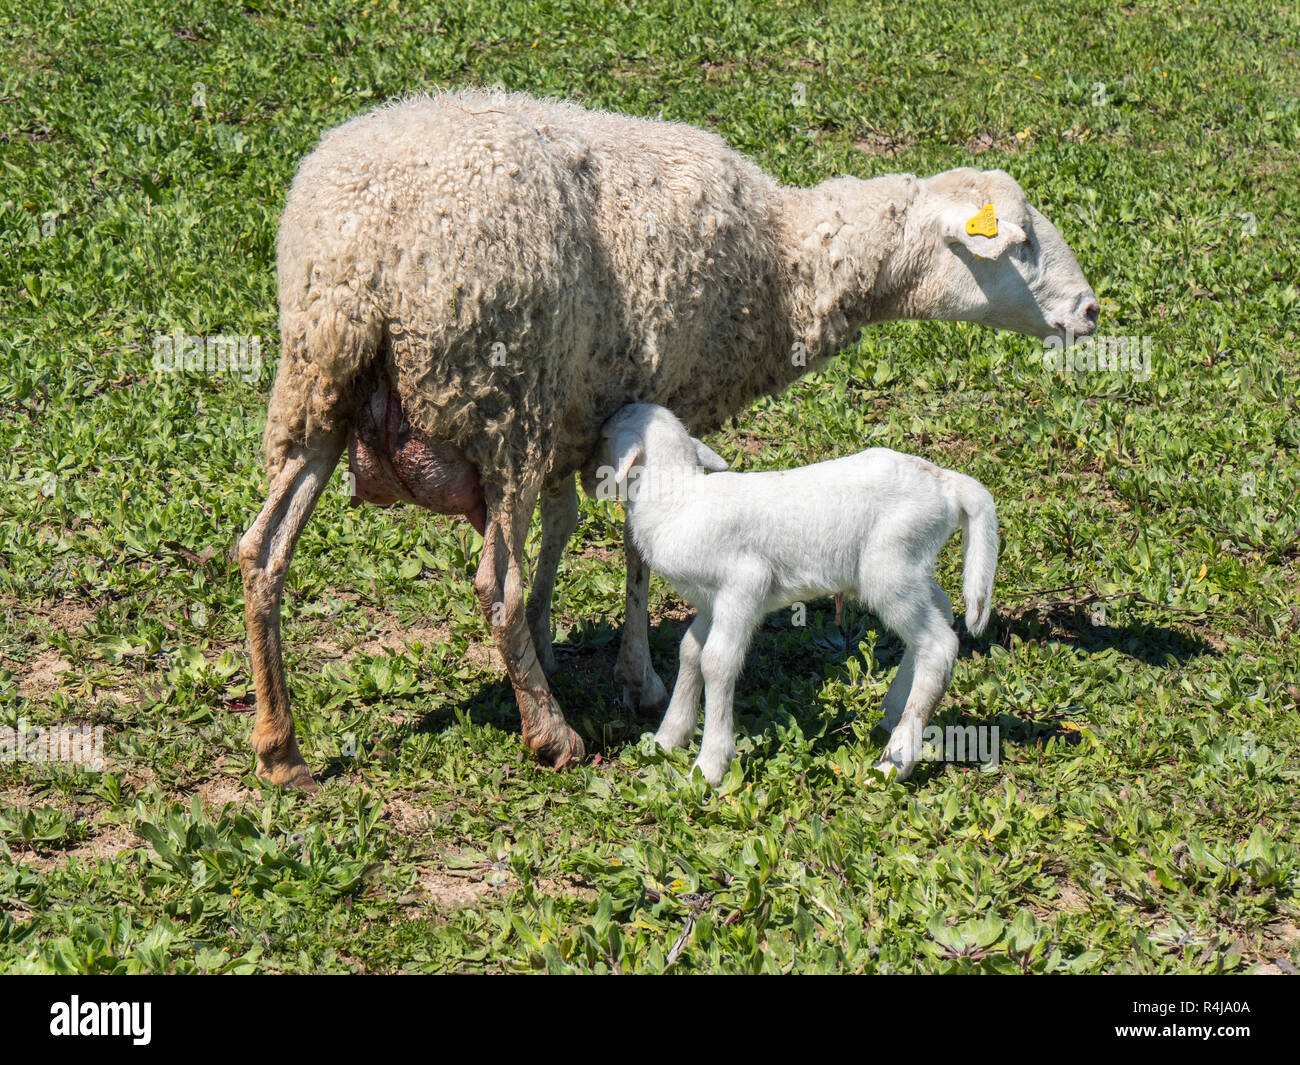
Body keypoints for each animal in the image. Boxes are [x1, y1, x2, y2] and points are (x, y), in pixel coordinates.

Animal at [586, 402, 999, 785]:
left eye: (604, 438)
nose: (587, 481)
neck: (678, 503)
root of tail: (947, 484)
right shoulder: (710, 599)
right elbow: (690, 652)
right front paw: (668, 738)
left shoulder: (744, 584)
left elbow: (716, 662)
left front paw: (710, 765)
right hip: (908, 564)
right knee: (939, 610)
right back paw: (892, 710)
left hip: (889, 567)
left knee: (938, 645)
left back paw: (892, 763)